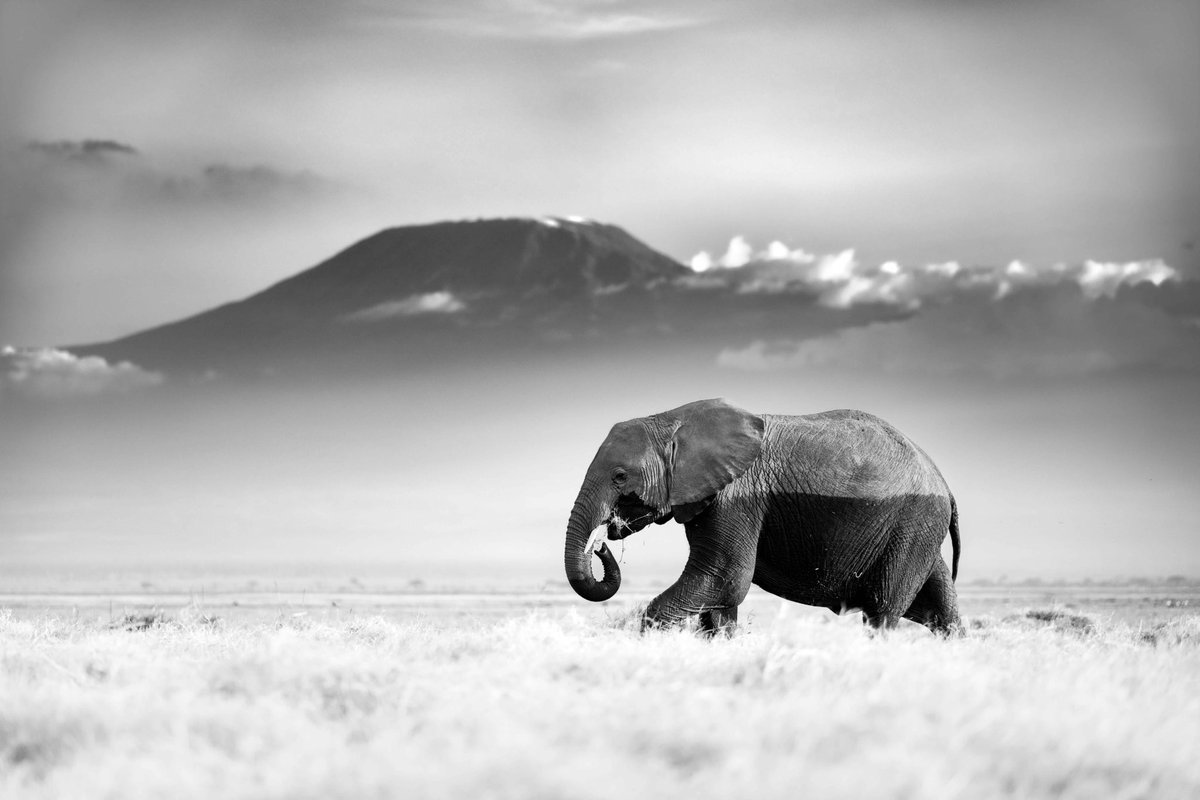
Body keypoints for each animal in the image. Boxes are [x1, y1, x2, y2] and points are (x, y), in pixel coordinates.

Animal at [563, 398, 962, 636]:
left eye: (619, 476)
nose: (600, 543)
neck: (673, 419)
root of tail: (945, 484)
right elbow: (720, 595)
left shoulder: (738, 496)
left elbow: (726, 578)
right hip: (919, 527)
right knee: (940, 605)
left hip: (913, 522)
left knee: (883, 610)